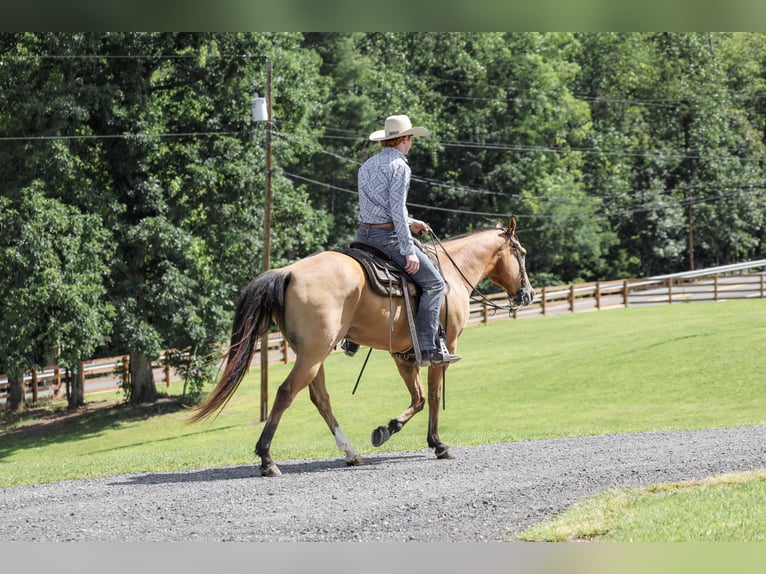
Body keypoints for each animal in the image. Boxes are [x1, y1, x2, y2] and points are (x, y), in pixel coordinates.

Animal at [191, 216, 534, 476]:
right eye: (521, 252)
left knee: (321, 399)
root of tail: (287, 272)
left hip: (312, 355)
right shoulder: (441, 351)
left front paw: (387, 429)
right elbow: (434, 397)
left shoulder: (403, 355)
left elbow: (419, 398)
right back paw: (267, 460)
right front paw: (438, 444)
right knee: (286, 393)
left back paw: (351, 452)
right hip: (312, 355)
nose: (528, 294)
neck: (451, 275)